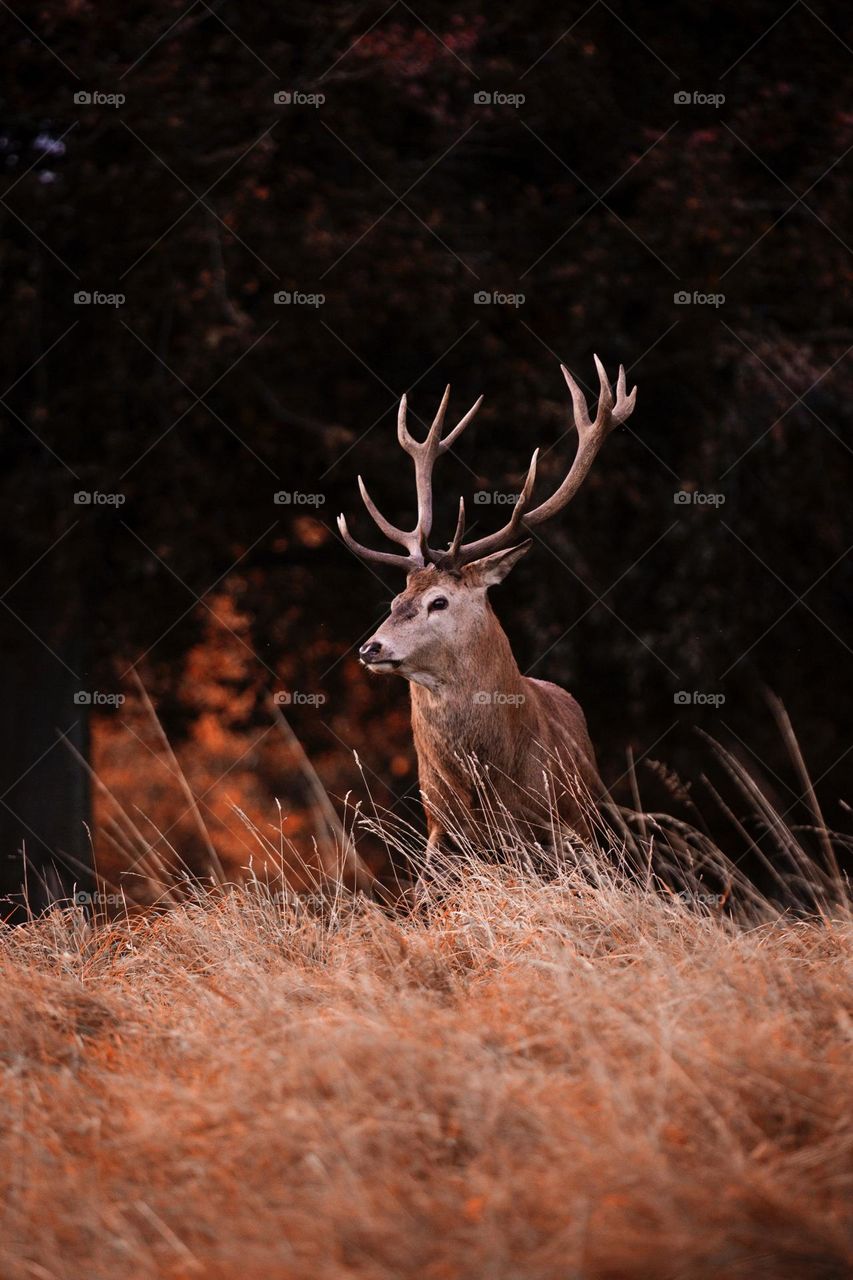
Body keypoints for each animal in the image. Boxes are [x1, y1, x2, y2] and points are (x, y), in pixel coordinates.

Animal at [338, 358, 637, 881]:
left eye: (439, 601)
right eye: (396, 598)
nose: (370, 647)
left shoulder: (556, 825)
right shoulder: (440, 827)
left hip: (590, 818)